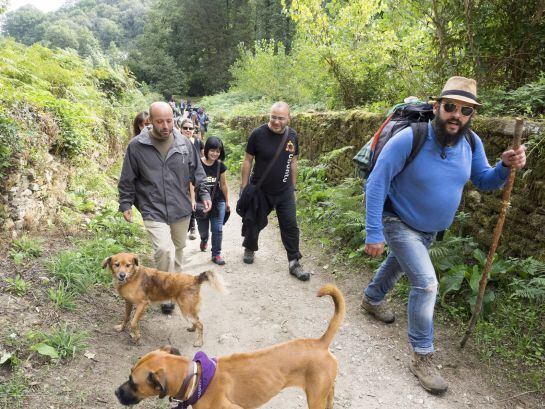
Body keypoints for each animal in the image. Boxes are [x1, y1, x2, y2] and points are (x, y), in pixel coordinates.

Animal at [116, 284, 344, 408]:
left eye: (133, 382)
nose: (116, 392)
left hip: (315, 399)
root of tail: (320, 342)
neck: (196, 379)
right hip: (325, 393)